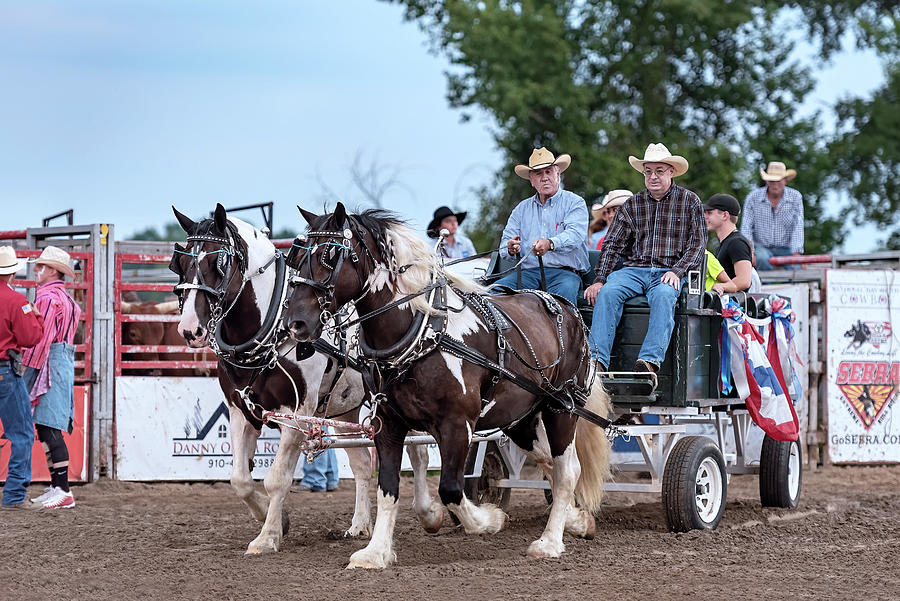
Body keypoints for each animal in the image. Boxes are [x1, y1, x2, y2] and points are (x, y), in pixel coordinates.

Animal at [168, 203, 442, 552]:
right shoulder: (240, 410)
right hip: (347, 408)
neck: (271, 327)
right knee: (362, 463)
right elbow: (240, 479)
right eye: (180, 263)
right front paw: (275, 520)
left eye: (218, 262)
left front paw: (268, 536)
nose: (190, 329)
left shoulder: (297, 414)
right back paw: (359, 524)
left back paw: (430, 514)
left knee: (419, 453)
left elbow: (277, 478)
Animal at [284, 202, 616, 568]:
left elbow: (452, 490)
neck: (422, 329)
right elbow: (388, 487)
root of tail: (568, 308)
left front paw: (491, 519)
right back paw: (578, 520)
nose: (294, 323)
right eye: (295, 257)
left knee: (566, 469)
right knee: (551, 465)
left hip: (561, 408)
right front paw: (376, 552)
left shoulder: (457, 425)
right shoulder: (388, 424)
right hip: (521, 418)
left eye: (329, 255)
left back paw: (550, 541)